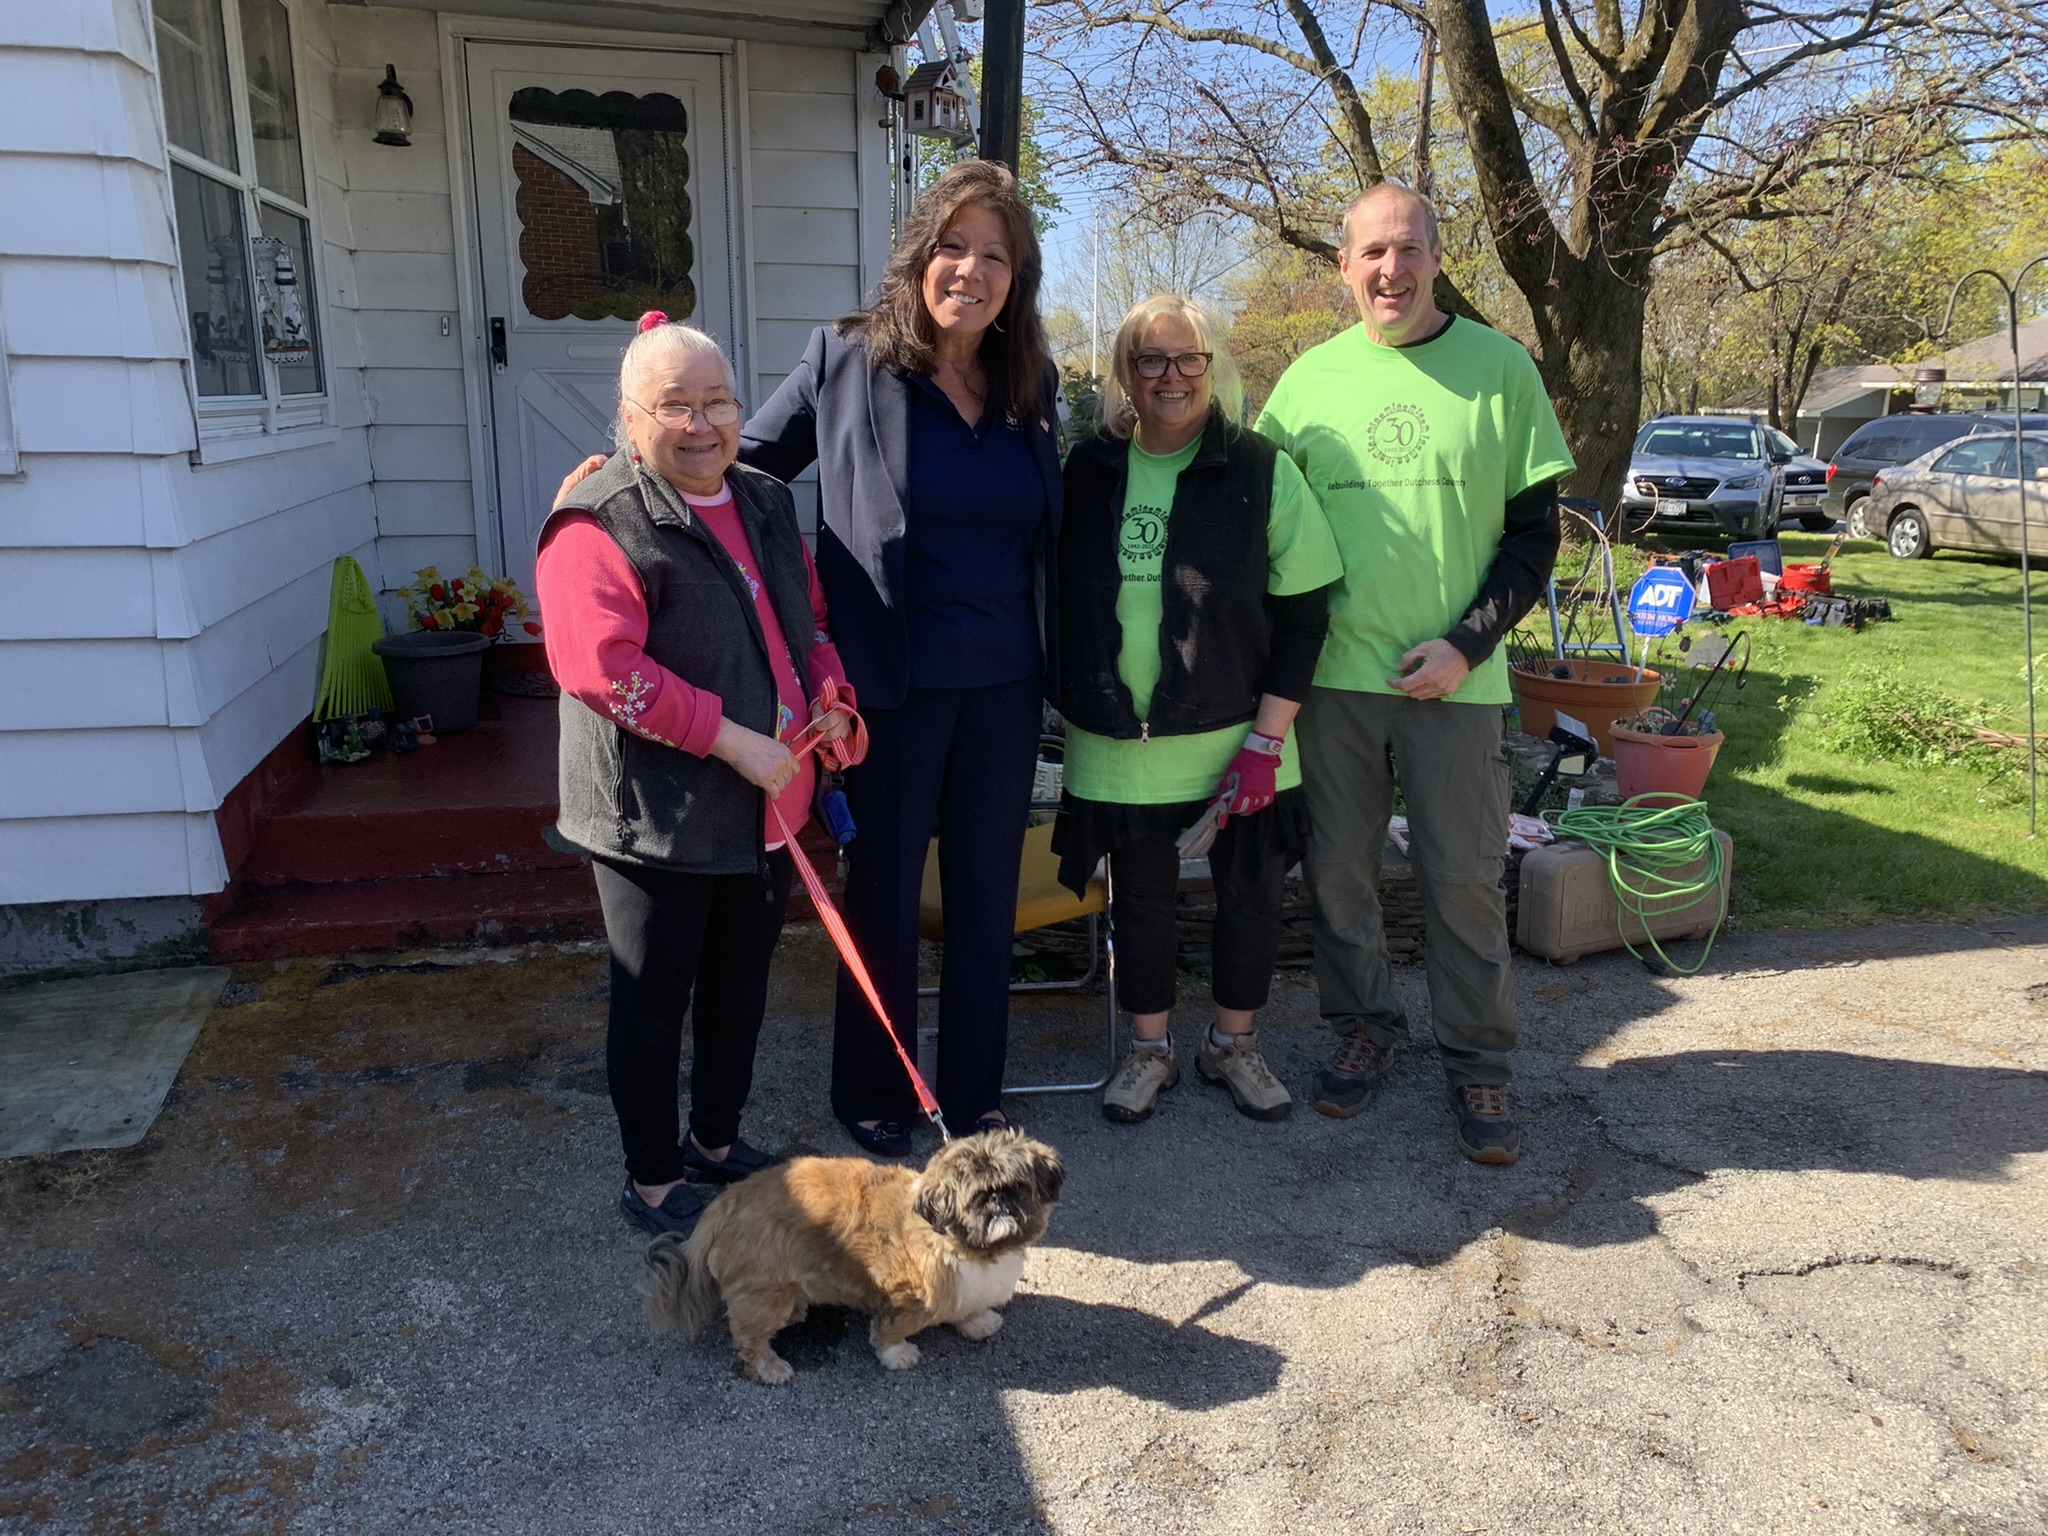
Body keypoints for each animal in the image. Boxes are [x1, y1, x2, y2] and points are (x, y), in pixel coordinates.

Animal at [638, 1122, 1064, 1392]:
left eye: (1017, 1187)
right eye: (976, 1196)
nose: (999, 1201)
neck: (964, 1246)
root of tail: (724, 1205)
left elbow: (969, 1309)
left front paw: (977, 1321)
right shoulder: (906, 1298)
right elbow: (891, 1330)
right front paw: (898, 1354)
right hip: (765, 1295)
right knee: (748, 1339)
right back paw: (770, 1367)